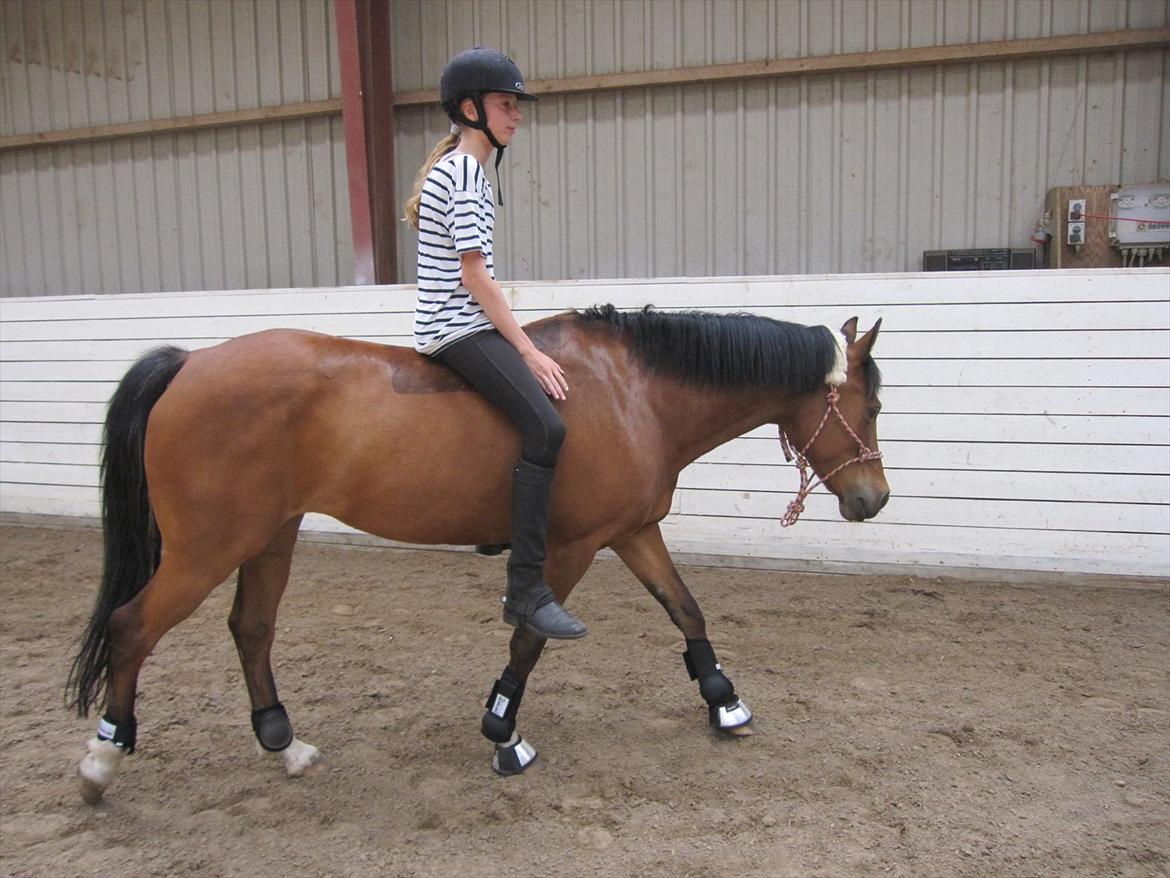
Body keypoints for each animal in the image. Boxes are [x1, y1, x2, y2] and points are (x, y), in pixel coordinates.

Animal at [67, 305, 888, 803]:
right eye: (873, 405)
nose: (874, 500)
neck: (634, 393)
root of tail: (190, 363)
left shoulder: (631, 532)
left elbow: (686, 609)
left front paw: (723, 700)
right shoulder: (572, 549)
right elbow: (529, 637)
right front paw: (503, 734)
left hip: (269, 537)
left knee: (252, 629)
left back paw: (285, 745)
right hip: (208, 548)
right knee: (133, 628)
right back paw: (103, 758)